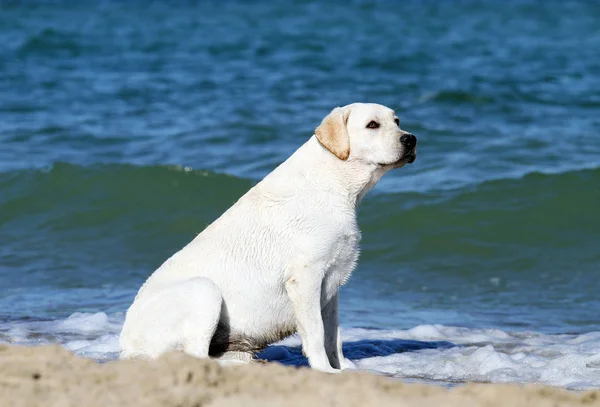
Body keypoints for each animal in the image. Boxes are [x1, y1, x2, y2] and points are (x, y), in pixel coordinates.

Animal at [118, 103, 418, 374]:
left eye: (397, 120)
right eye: (372, 125)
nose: (411, 138)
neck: (336, 182)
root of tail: (125, 348)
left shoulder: (331, 284)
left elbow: (334, 334)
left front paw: (344, 368)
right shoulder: (305, 278)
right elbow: (317, 333)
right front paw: (325, 370)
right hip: (204, 290)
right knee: (195, 355)